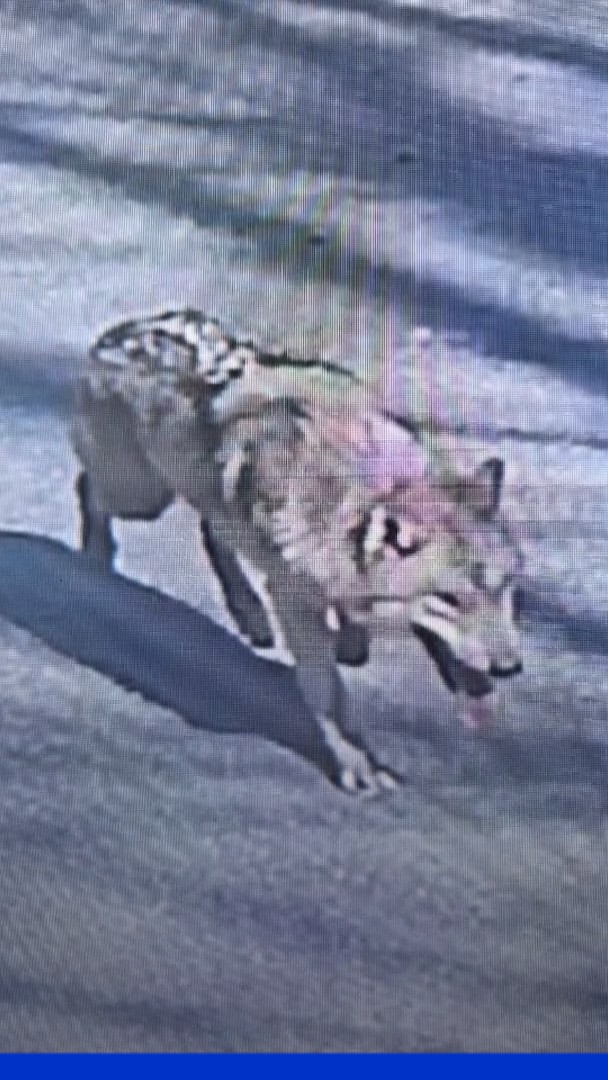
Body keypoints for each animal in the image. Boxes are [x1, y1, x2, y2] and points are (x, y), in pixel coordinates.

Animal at [71, 308, 524, 794]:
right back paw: (95, 561)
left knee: (213, 529)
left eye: (504, 589)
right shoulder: (295, 601)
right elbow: (327, 695)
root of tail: (124, 330)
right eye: (448, 600)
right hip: (140, 497)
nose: (509, 669)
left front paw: (351, 640)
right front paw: (358, 766)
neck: (369, 491)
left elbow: (352, 635)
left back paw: (250, 614)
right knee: (90, 489)